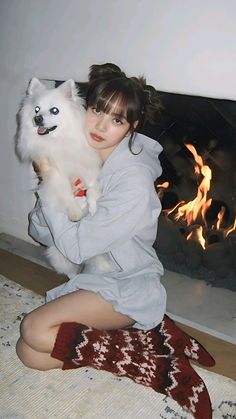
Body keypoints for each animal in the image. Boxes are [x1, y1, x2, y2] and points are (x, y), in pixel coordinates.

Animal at [15, 79, 102, 278]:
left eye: (54, 110)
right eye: (37, 109)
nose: (38, 119)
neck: (58, 141)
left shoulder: (85, 163)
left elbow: (92, 185)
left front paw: (93, 205)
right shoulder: (54, 174)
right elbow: (66, 194)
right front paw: (75, 212)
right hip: (59, 255)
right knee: (71, 273)